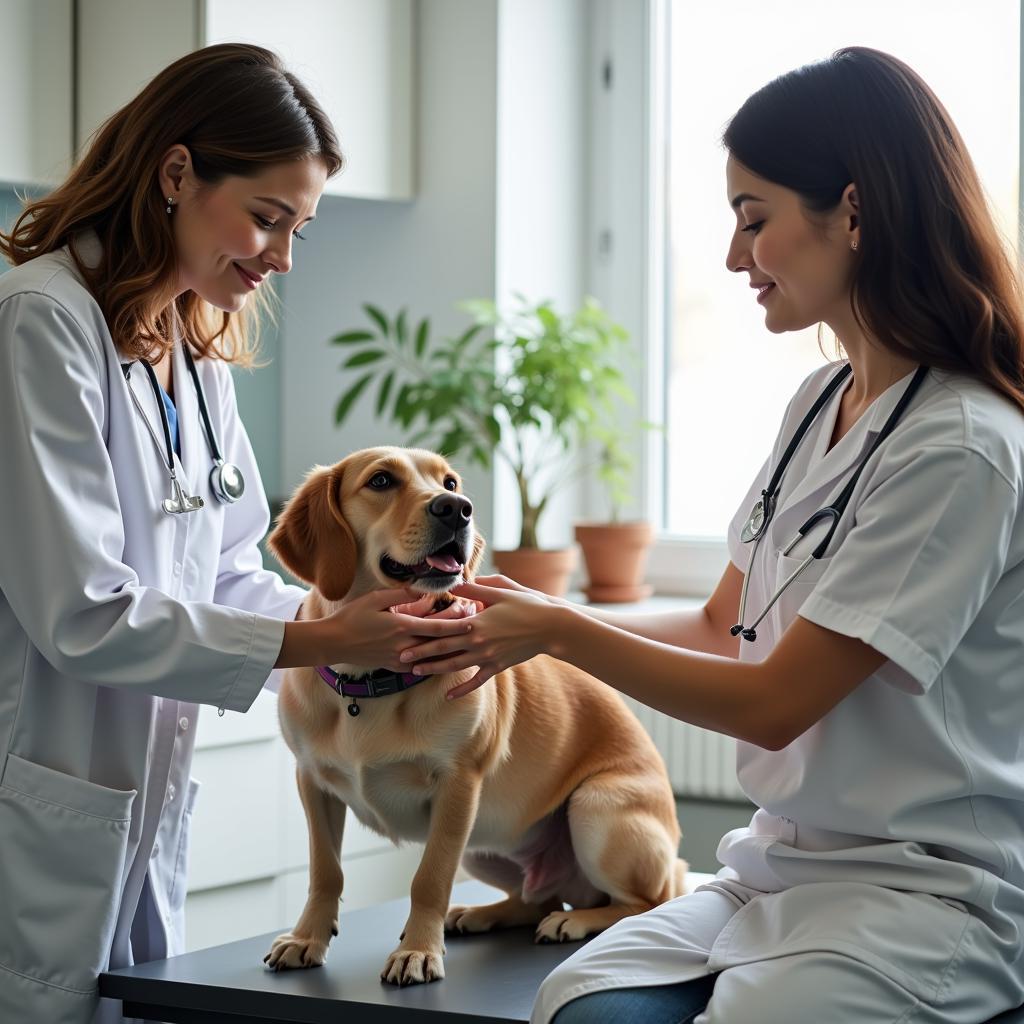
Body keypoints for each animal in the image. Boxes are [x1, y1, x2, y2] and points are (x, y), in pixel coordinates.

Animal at [262, 448, 688, 983]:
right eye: (380, 481)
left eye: (449, 482)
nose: (457, 509)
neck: (370, 682)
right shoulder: (312, 783)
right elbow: (326, 871)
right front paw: (307, 938)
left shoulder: (458, 786)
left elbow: (429, 879)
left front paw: (418, 950)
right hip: (486, 843)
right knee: (536, 898)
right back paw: (481, 914)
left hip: (595, 807)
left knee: (646, 902)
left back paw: (578, 921)